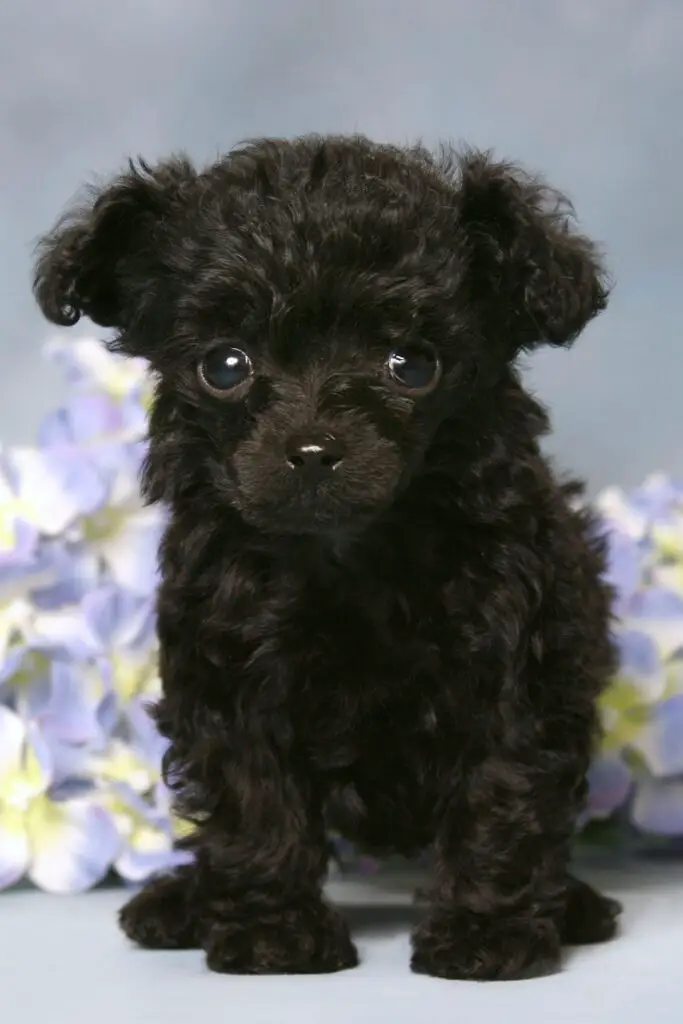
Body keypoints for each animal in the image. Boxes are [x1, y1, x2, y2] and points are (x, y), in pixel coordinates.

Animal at [31, 134, 618, 974]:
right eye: (225, 365)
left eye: (411, 364)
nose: (311, 450)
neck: (348, 554)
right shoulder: (231, 681)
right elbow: (255, 809)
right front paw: (272, 933)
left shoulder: (516, 674)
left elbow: (498, 798)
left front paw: (484, 934)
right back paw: (180, 903)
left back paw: (571, 906)